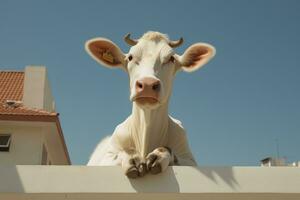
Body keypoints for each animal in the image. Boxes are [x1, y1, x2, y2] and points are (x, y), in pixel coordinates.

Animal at [85, 31, 214, 178]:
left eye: (171, 58)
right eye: (130, 57)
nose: (147, 84)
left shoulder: (189, 159)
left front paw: (158, 156)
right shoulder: (107, 158)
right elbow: (125, 151)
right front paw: (132, 159)